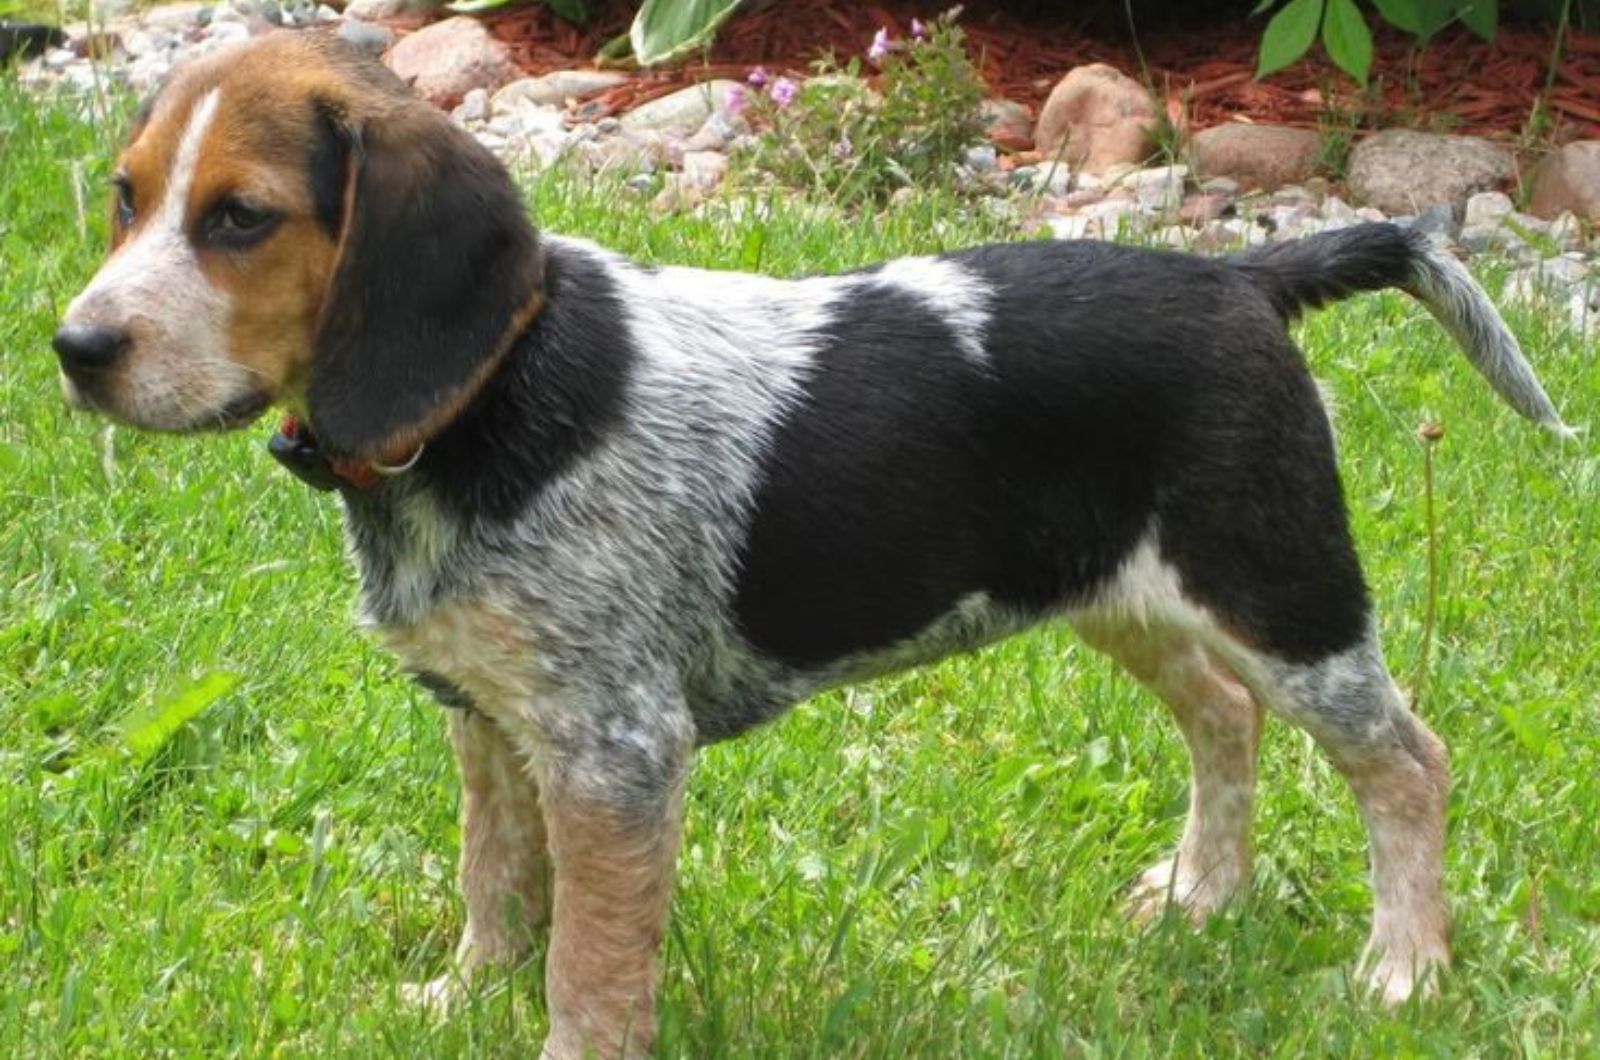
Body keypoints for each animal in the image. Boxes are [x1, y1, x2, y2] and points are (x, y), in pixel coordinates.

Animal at [56, 31, 1568, 1060]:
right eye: (124, 198)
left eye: (241, 218)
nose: (74, 349)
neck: (492, 397)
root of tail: (1246, 276)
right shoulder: (491, 717)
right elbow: (496, 880)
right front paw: (463, 994)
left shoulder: (614, 755)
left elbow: (590, 960)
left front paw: (552, 1028)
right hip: (1122, 592)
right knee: (1221, 718)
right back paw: (1203, 894)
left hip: (1281, 589)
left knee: (1407, 763)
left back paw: (1403, 967)